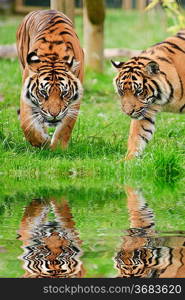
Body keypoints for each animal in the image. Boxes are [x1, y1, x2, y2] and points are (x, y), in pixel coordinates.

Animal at [15, 10, 84, 149]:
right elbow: (26, 124)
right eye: (42, 92)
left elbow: (66, 126)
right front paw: (42, 142)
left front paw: (58, 148)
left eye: (64, 93)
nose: (54, 115)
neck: (54, 56)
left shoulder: (75, 101)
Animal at [112, 30, 185, 161]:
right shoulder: (146, 110)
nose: (128, 112)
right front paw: (128, 160)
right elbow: (137, 135)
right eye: (121, 92)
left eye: (138, 91)